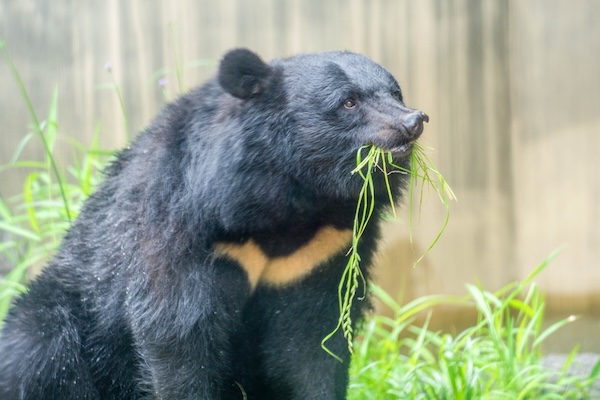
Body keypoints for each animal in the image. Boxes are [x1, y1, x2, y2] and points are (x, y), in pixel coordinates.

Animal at [1, 48, 432, 398]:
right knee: (39, 350)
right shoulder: (179, 226)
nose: (414, 121)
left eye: (395, 93)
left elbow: (314, 343)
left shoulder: (323, 251)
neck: (293, 204)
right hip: (63, 311)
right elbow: (178, 334)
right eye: (348, 102)